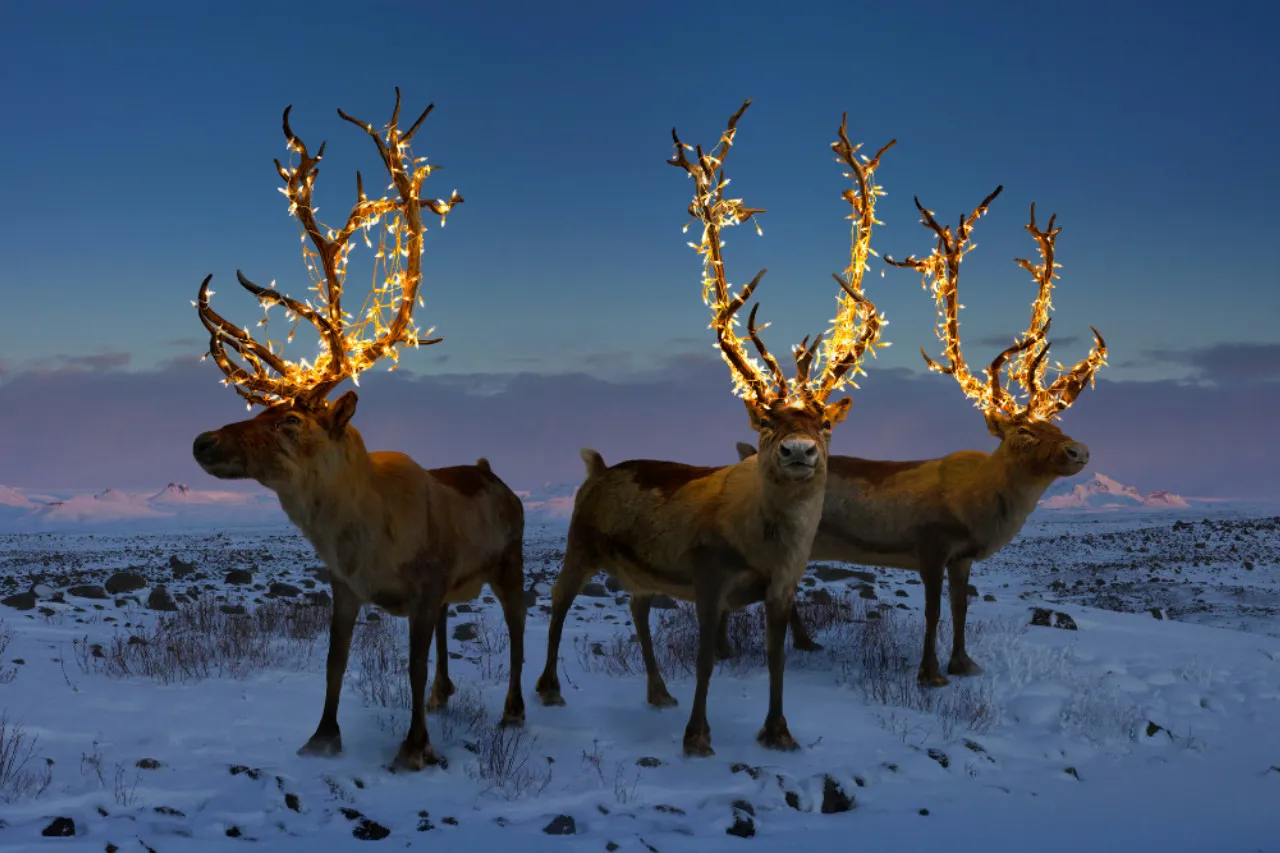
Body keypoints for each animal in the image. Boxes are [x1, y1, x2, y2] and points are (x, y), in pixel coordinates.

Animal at [190, 89, 526, 772]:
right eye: (257, 412)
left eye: (291, 419)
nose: (202, 441)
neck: (359, 535)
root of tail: (495, 477)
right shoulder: (345, 588)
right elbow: (334, 663)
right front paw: (321, 738)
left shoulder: (425, 586)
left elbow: (411, 668)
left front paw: (414, 747)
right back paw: (449, 696)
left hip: (510, 563)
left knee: (518, 631)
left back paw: (514, 711)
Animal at [534, 100, 890, 757]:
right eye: (768, 421)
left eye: (825, 423)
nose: (799, 451)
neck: (763, 542)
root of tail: (597, 467)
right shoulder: (707, 577)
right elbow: (703, 657)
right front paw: (698, 736)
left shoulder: (781, 587)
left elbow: (777, 656)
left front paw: (778, 731)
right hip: (579, 542)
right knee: (556, 601)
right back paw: (547, 689)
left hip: (641, 571)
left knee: (637, 611)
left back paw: (656, 692)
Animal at [734, 185, 1108, 686]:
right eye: (1024, 430)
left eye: (1058, 425)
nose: (1078, 450)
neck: (980, 504)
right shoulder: (929, 545)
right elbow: (933, 612)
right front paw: (930, 673)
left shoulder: (962, 557)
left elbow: (960, 609)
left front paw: (965, 663)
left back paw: (808, 642)